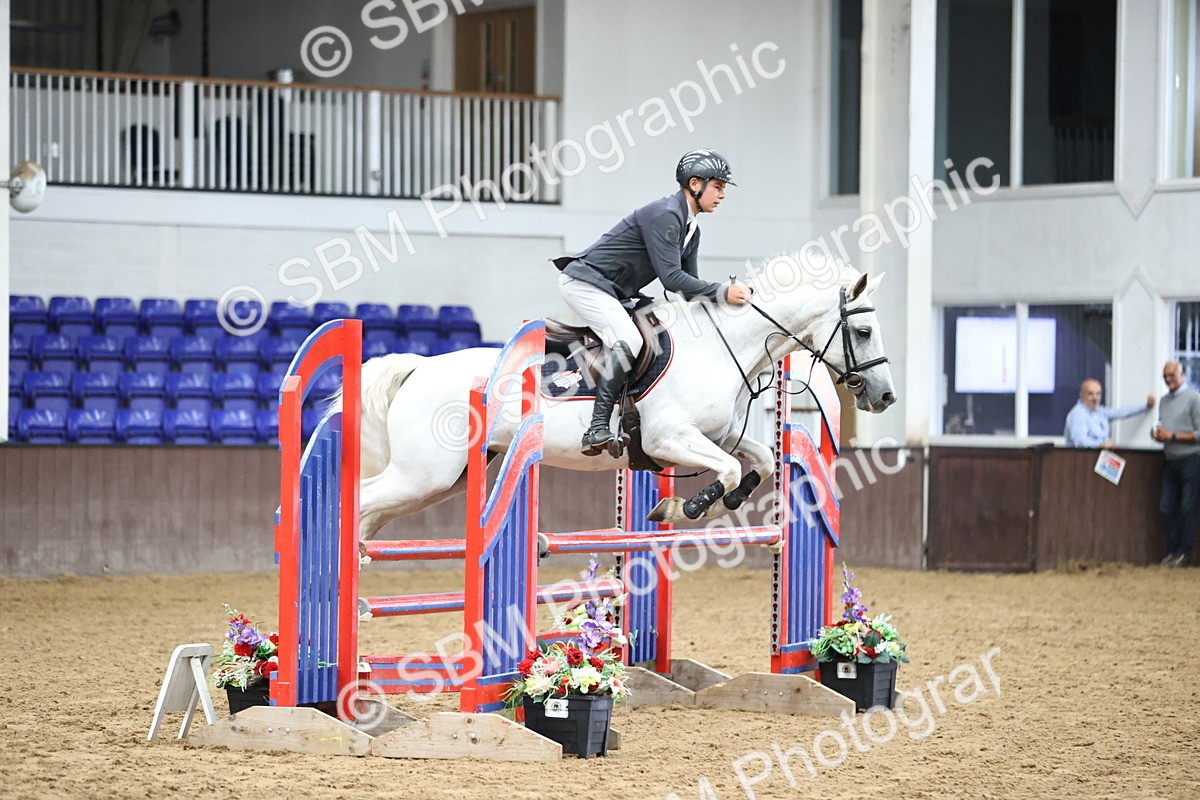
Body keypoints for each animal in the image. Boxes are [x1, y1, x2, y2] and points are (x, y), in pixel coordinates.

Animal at [353, 263, 896, 538]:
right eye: (864, 332)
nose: (886, 397)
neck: (722, 347)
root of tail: (420, 366)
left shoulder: (720, 436)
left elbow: (759, 462)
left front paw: (714, 504)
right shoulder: (668, 438)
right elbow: (726, 471)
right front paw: (684, 507)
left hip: (449, 480)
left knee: (372, 514)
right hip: (425, 473)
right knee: (361, 500)